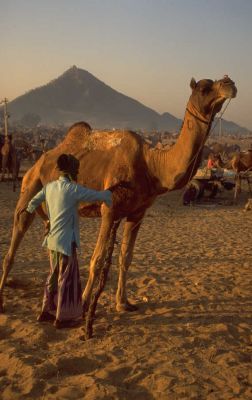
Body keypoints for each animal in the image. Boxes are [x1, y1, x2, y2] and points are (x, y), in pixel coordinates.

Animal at [0, 75, 237, 338]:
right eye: (205, 88)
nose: (229, 83)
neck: (152, 166)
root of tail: (39, 161)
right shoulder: (109, 211)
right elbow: (97, 260)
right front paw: (84, 305)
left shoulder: (137, 214)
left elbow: (126, 257)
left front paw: (123, 303)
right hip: (29, 189)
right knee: (12, 247)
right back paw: (5, 300)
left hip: (50, 212)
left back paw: (50, 303)